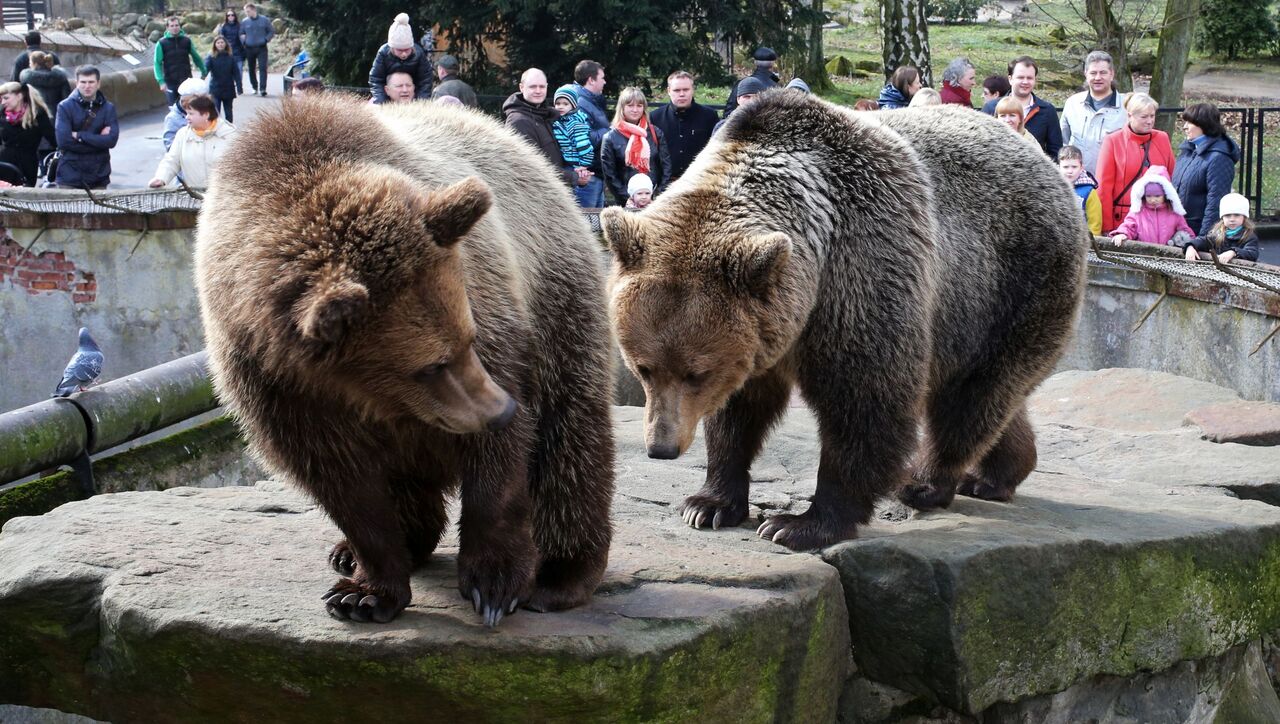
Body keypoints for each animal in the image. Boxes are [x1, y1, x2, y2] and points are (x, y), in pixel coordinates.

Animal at [198, 97, 614, 629]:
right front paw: (363, 592)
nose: (499, 410)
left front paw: (495, 583)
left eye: (468, 338)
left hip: (558, 297)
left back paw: (561, 573)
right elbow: (346, 488)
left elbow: (501, 463)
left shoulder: (491, 306)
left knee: (570, 439)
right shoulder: (276, 382)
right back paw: (363, 549)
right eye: (430, 365)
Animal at [604, 93, 1085, 552]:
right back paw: (994, 475)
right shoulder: (765, 331)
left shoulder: (864, 269)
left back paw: (925, 483)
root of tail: (1049, 168)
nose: (661, 447)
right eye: (643, 368)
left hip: (1012, 284)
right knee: (992, 398)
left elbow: (865, 402)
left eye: (696, 372)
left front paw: (799, 524)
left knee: (972, 399)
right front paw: (709, 504)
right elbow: (739, 411)